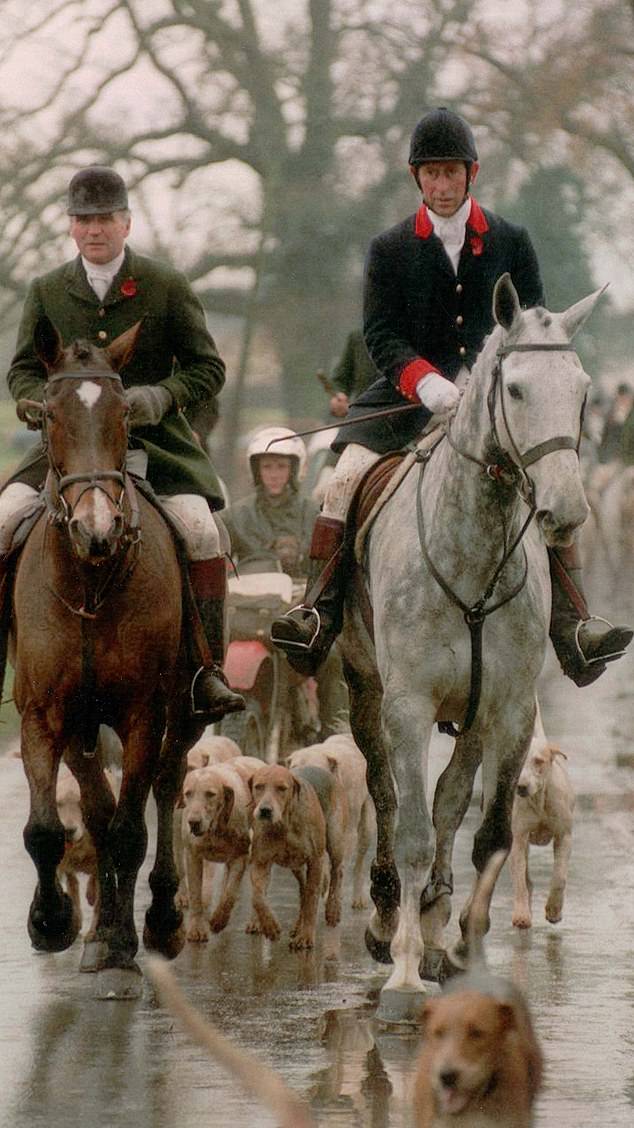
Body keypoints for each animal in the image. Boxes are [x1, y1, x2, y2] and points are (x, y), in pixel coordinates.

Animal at [10, 315, 201, 997]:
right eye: (49, 415)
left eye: (123, 415)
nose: (97, 528)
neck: (91, 578)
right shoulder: (43, 715)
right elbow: (48, 829)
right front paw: (53, 922)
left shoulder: (144, 714)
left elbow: (129, 830)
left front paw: (123, 943)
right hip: (80, 729)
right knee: (95, 807)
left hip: (183, 712)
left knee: (166, 789)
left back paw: (159, 918)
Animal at [340, 270, 595, 1024]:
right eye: (515, 390)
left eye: (581, 389)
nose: (566, 511)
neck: (475, 549)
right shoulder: (408, 706)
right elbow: (412, 830)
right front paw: (402, 979)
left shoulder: (508, 712)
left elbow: (488, 837)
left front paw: (463, 950)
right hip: (365, 693)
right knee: (387, 795)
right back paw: (389, 915)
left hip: (476, 717)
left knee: (451, 803)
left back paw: (430, 923)